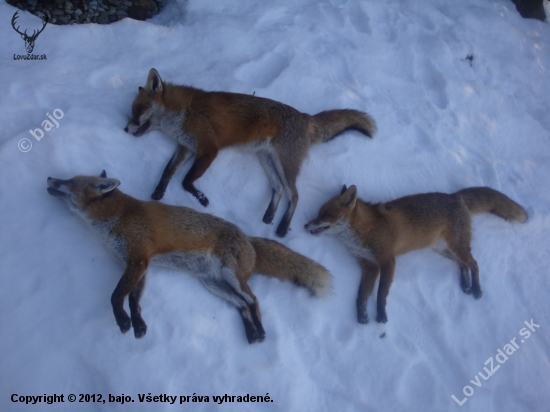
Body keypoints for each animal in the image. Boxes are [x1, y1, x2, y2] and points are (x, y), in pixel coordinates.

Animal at [47, 171, 332, 344]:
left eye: (70, 180)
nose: (50, 177)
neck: (116, 219)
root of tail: (248, 238)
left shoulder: (138, 258)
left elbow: (117, 295)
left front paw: (123, 322)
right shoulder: (140, 265)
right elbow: (134, 299)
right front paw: (139, 325)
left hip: (232, 276)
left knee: (253, 300)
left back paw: (260, 331)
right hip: (213, 283)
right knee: (241, 304)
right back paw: (251, 333)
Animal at [124, 69, 380, 237]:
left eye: (139, 109)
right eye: (132, 110)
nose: (125, 128)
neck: (184, 112)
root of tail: (305, 117)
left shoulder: (209, 149)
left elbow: (186, 181)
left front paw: (202, 198)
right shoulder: (186, 146)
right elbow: (168, 170)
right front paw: (158, 191)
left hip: (285, 164)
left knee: (295, 195)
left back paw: (282, 228)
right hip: (266, 159)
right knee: (278, 188)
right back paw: (269, 215)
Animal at [304, 186, 528, 326]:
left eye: (325, 214)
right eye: (318, 213)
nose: (305, 225)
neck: (363, 232)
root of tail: (455, 196)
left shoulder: (387, 260)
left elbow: (381, 293)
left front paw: (381, 316)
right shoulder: (369, 266)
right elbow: (361, 295)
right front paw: (362, 316)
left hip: (455, 246)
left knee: (474, 263)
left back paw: (477, 289)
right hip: (443, 250)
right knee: (463, 264)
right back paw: (465, 284)